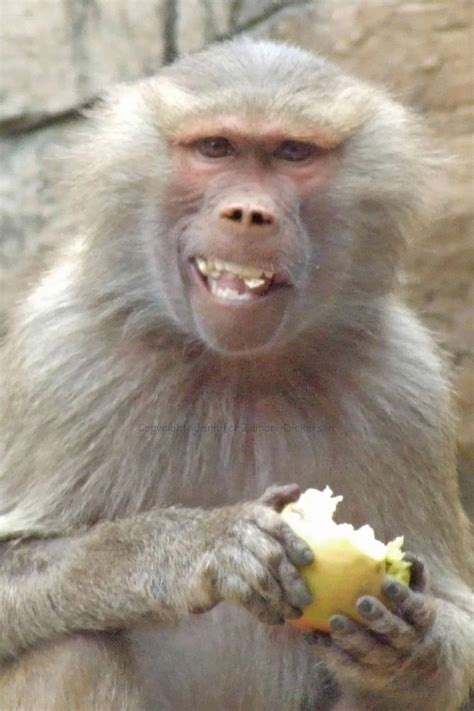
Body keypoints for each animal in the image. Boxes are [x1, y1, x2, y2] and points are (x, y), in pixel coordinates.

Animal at [0, 38, 473, 711]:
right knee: (70, 653)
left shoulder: (409, 385)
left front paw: (411, 644)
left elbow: (456, 622)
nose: (248, 213)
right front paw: (197, 545)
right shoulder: (59, 353)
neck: (235, 367)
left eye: (293, 152)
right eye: (216, 147)